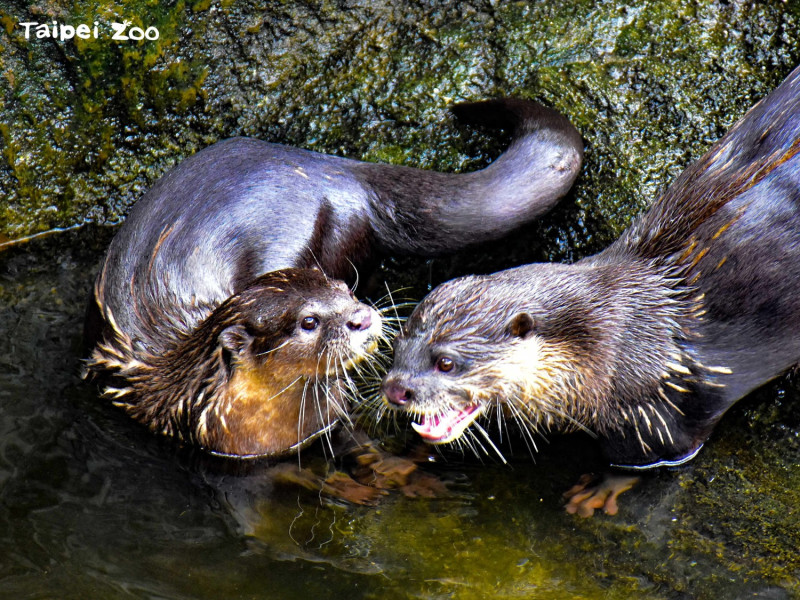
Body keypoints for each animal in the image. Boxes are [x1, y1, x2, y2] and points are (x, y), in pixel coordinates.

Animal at [382, 67, 800, 516]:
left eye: (446, 363)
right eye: (396, 348)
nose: (396, 389)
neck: (618, 340)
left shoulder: (658, 413)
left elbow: (647, 462)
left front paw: (601, 489)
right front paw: (400, 460)